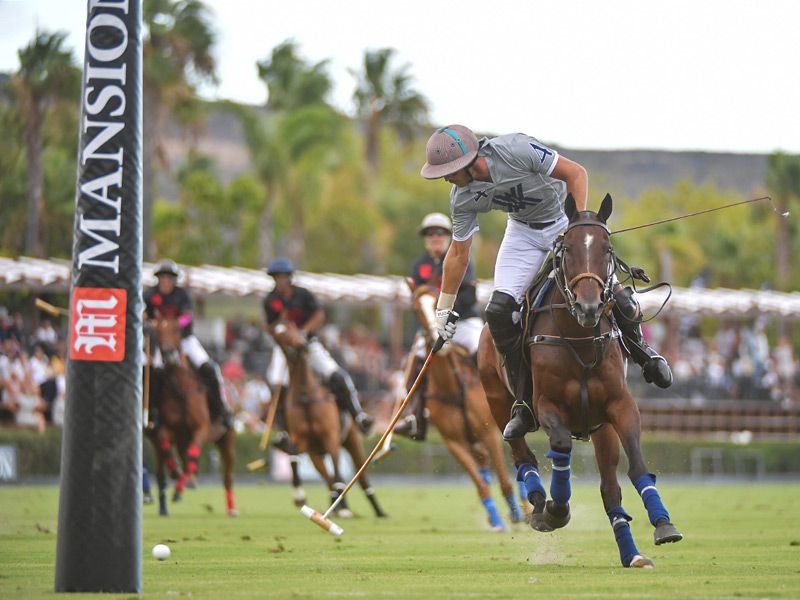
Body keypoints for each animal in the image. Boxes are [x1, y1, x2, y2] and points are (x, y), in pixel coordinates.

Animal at [148, 316, 238, 516]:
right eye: (157, 331)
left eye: (176, 329)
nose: (169, 353)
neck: (180, 389)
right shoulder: (166, 429)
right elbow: (167, 448)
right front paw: (175, 473)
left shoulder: (202, 428)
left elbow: (192, 455)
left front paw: (184, 483)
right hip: (182, 440)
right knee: (180, 459)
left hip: (227, 439)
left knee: (227, 476)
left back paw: (231, 508)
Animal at [270, 322, 386, 516]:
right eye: (280, 335)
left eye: (297, 330)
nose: (302, 344)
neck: (305, 397)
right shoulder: (302, 441)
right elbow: (294, 454)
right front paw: (300, 496)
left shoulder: (331, 436)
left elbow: (338, 472)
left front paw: (342, 507)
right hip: (316, 454)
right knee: (327, 477)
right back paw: (336, 503)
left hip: (352, 441)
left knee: (360, 477)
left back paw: (377, 511)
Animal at [406, 284, 524, 532]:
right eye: (415, 308)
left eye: (436, 300)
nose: (436, 336)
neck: (451, 388)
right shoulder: (453, 442)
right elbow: (481, 485)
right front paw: (497, 522)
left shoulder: (489, 433)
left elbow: (505, 480)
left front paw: (517, 514)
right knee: (484, 465)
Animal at [478, 195, 684, 568]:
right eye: (567, 251)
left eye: (607, 249)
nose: (589, 307)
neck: (581, 338)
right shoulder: (547, 405)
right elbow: (559, 447)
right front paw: (554, 510)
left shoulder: (620, 406)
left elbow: (637, 464)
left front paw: (663, 523)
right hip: (498, 402)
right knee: (521, 454)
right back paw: (537, 503)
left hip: (601, 430)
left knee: (609, 489)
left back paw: (632, 554)